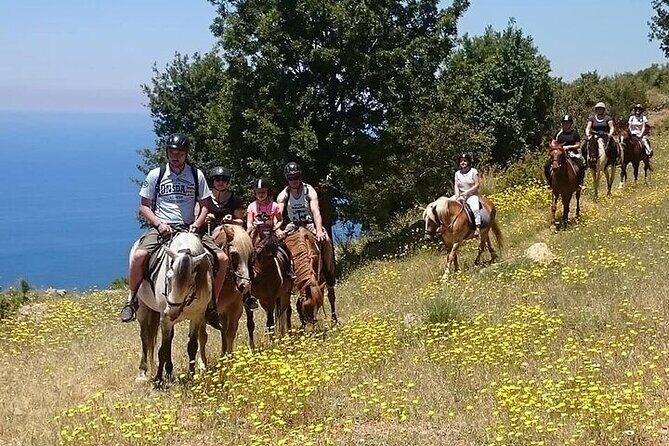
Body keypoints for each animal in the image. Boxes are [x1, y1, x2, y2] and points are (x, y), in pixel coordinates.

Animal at [134, 232, 213, 386]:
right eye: (168, 278)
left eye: (191, 284)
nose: (171, 311)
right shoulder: (164, 320)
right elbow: (162, 350)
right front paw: (158, 380)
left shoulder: (197, 316)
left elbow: (192, 346)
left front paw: (191, 375)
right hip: (143, 308)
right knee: (145, 336)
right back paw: (142, 372)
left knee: (169, 339)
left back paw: (169, 372)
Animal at [207, 223, 253, 355]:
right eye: (233, 255)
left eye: (251, 254)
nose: (245, 285)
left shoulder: (235, 309)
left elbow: (230, 334)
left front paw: (230, 357)